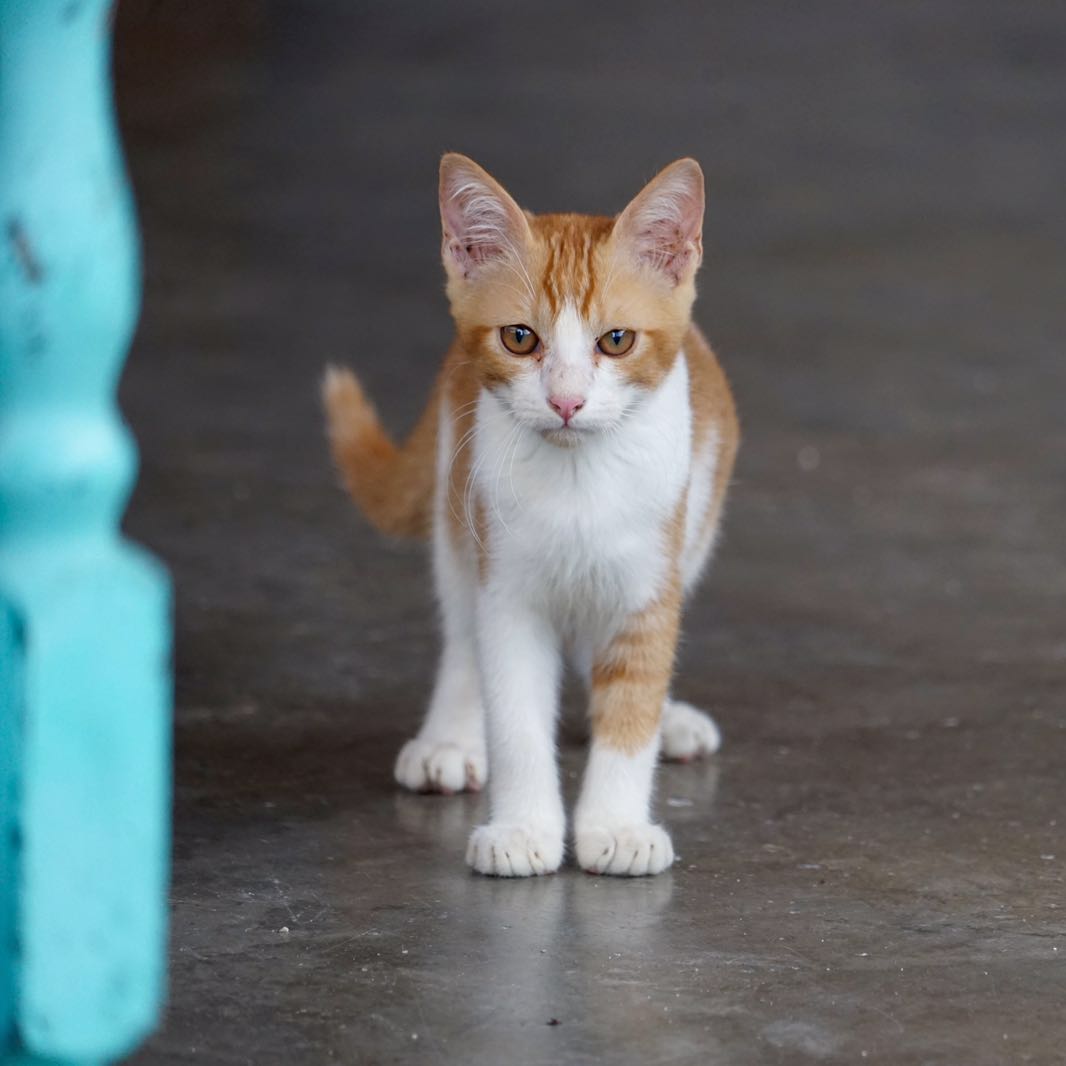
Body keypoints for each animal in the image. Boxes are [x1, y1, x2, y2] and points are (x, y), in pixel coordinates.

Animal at [324, 154, 737, 878]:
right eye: (520, 338)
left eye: (616, 340)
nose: (566, 400)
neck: (579, 481)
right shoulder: (507, 587)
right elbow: (514, 711)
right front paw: (522, 829)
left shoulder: (649, 582)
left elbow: (632, 698)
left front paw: (616, 825)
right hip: (457, 508)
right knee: (464, 633)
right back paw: (449, 739)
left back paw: (669, 718)